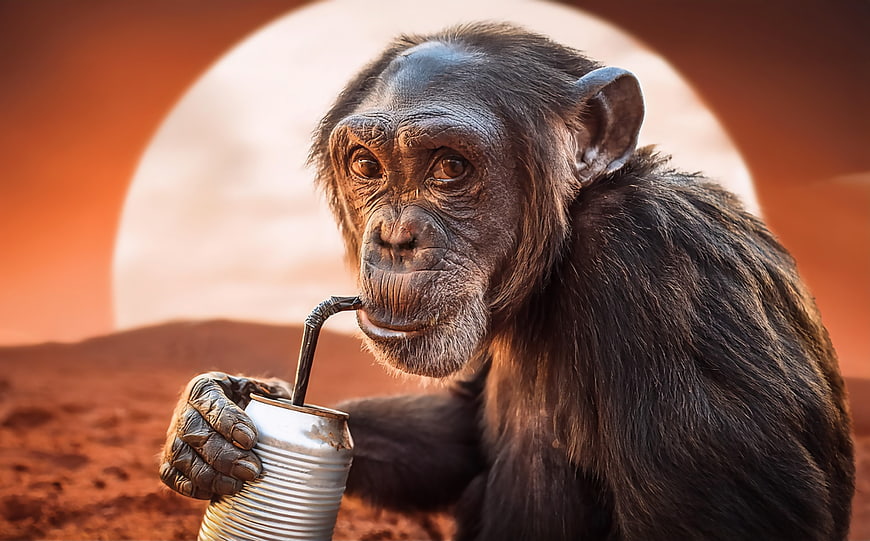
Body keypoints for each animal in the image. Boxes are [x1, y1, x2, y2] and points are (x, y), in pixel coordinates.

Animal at [160, 23, 855, 540]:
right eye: (366, 165)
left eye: (449, 167)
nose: (393, 239)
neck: (563, 254)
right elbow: (461, 430)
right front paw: (214, 414)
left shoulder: (662, 267)